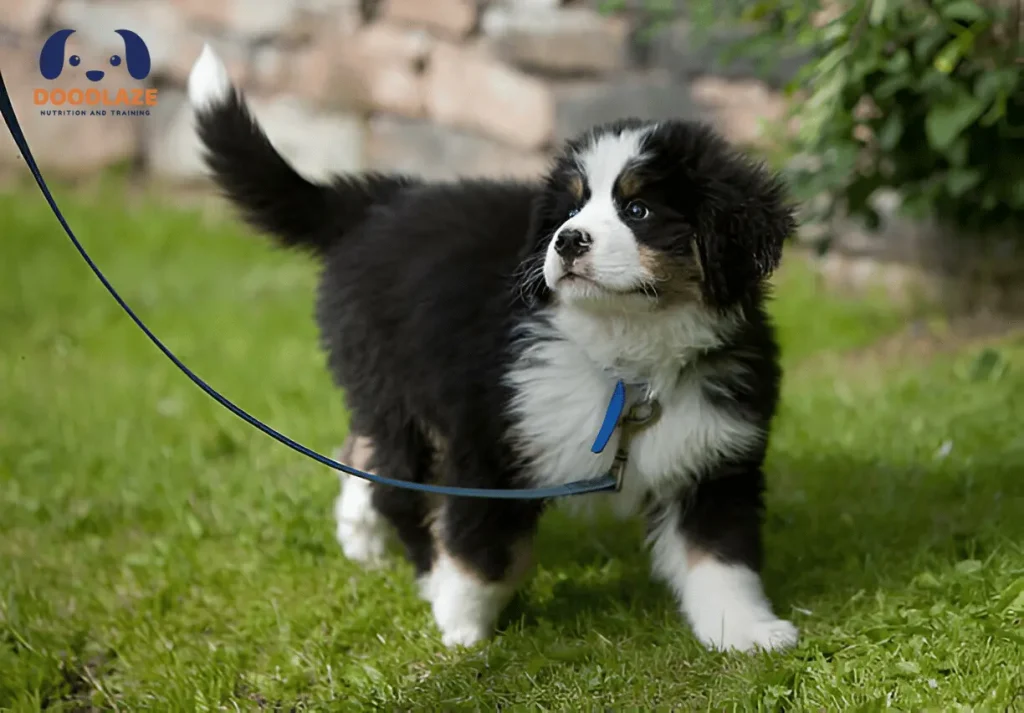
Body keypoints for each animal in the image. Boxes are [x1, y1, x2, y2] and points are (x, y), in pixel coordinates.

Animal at [190, 45, 798, 651]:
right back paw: (427, 573)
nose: (567, 241)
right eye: (570, 211)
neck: (627, 356)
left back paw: (361, 535)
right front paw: (463, 627)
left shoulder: (712, 455)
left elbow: (720, 558)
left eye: (638, 210)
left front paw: (747, 631)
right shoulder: (489, 435)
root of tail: (380, 200)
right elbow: (486, 548)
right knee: (399, 488)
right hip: (396, 388)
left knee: (366, 455)